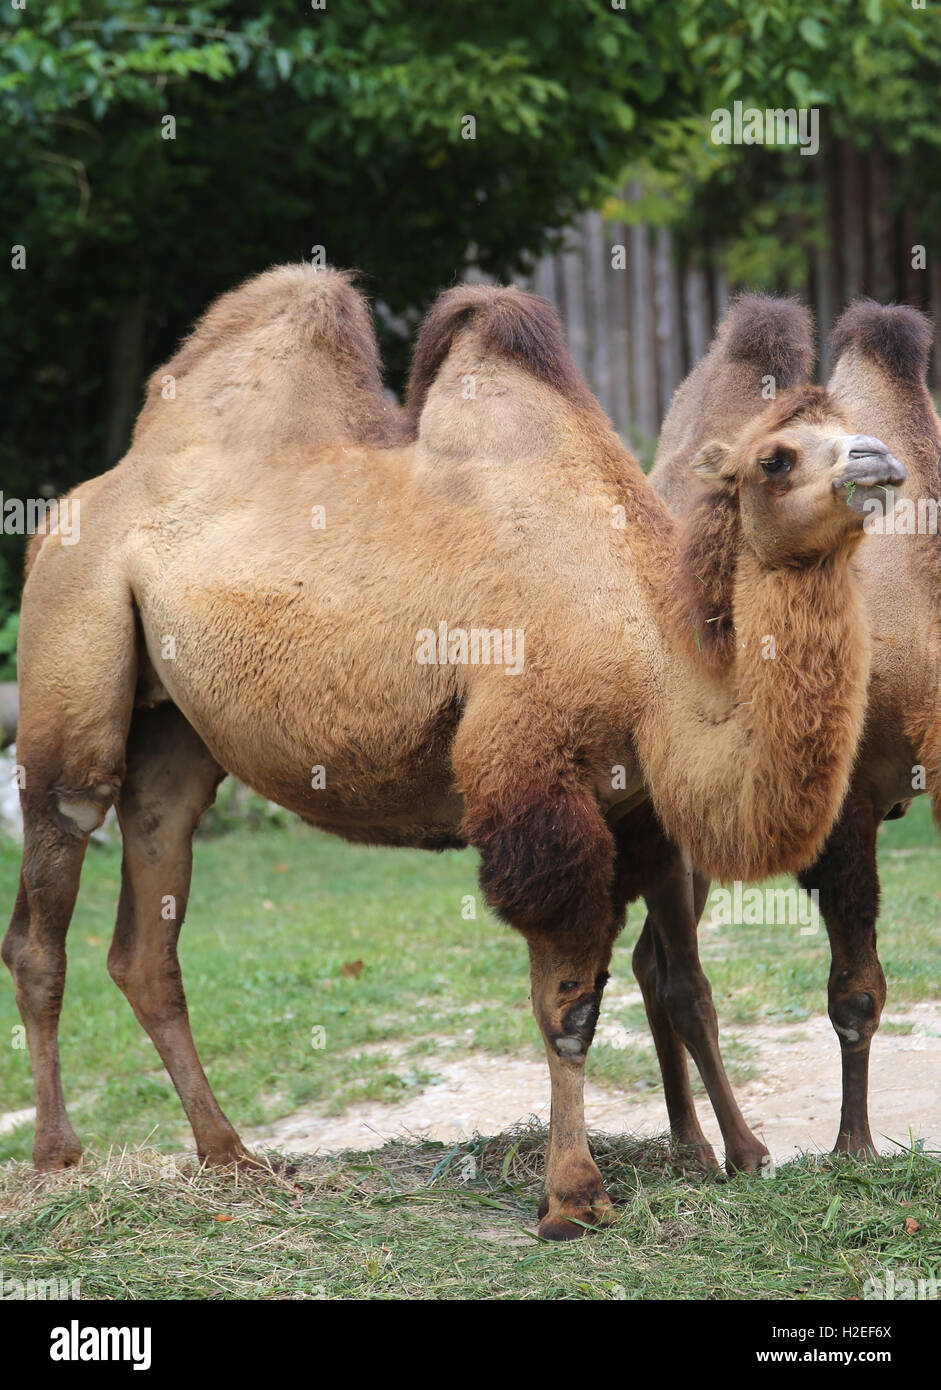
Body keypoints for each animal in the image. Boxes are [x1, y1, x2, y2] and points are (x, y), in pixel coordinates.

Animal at [5, 262, 900, 1239]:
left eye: (846, 427)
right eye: (776, 456)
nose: (880, 461)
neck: (650, 655)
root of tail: (74, 506)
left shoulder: (635, 813)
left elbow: (669, 984)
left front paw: (725, 1157)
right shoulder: (529, 781)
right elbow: (568, 1008)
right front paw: (572, 1199)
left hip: (175, 731)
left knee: (147, 925)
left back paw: (231, 1157)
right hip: (71, 638)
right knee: (50, 886)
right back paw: (58, 1161)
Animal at [644, 293, 939, 1162]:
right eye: (773, 461)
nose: (869, 461)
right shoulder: (845, 804)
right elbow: (855, 991)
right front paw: (854, 1150)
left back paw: (691, 1142)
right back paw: (709, 1148)